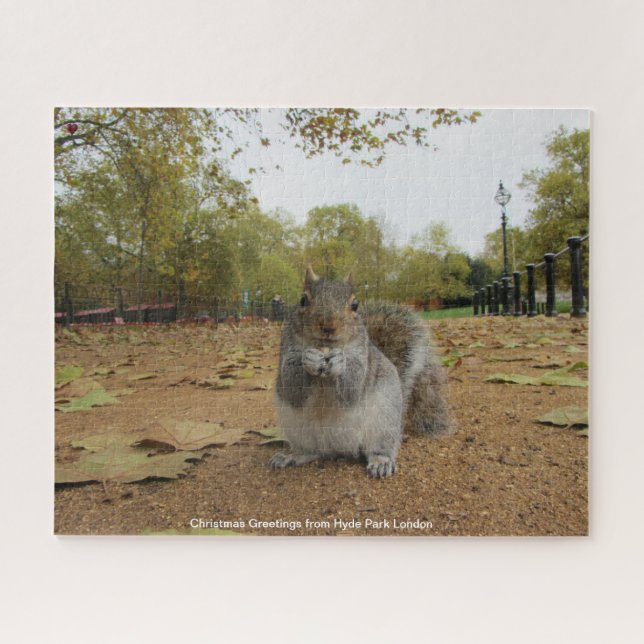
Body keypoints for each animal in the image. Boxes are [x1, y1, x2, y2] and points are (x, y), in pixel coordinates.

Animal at [270, 266, 451, 478]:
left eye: (355, 305)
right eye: (303, 300)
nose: (328, 326)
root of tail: (337, 447)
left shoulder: (362, 359)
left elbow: (353, 388)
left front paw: (340, 361)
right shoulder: (287, 351)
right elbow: (292, 387)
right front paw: (310, 358)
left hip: (384, 423)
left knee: (379, 447)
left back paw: (381, 461)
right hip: (298, 431)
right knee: (312, 452)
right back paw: (291, 456)